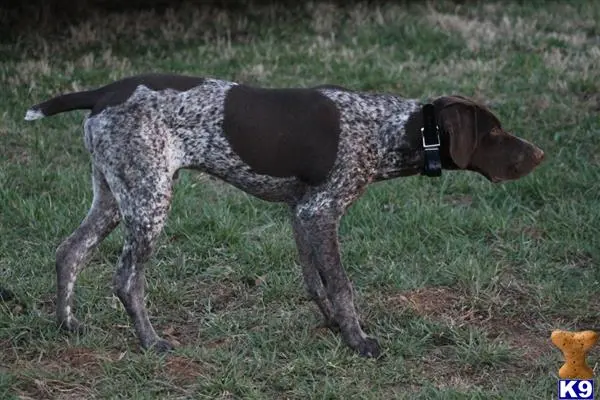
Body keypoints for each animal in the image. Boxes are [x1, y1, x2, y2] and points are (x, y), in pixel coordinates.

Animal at [24, 73, 544, 358]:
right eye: (494, 133)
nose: (539, 154)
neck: (388, 128)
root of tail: (105, 91)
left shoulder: (301, 213)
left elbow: (316, 282)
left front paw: (334, 326)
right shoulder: (321, 212)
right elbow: (342, 286)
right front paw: (359, 341)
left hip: (116, 196)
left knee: (69, 251)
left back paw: (68, 325)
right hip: (150, 199)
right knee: (126, 279)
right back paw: (151, 343)